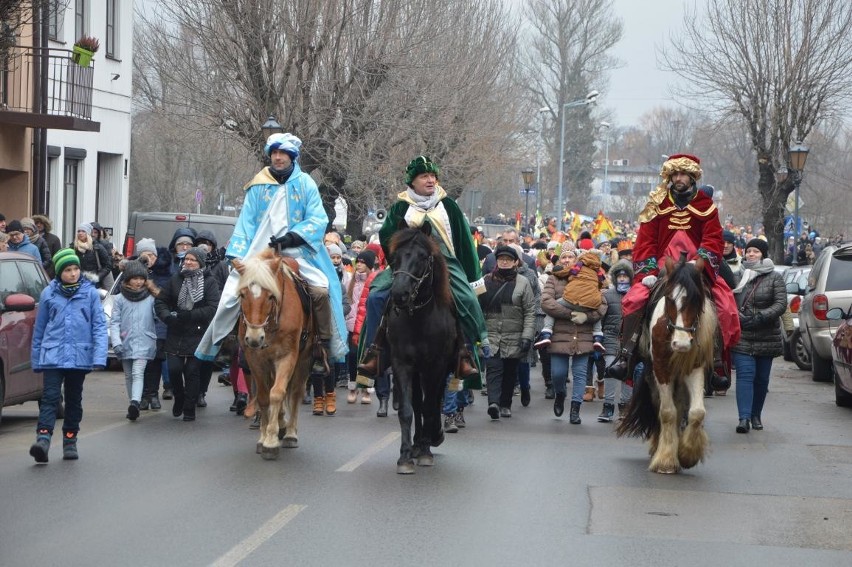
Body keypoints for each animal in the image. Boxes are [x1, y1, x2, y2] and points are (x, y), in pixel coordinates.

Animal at [231, 250, 314, 462]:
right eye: (242, 294)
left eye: (270, 296)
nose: (254, 338)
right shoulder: (255, 360)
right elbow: (263, 397)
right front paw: (263, 438)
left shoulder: (287, 356)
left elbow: (277, 393)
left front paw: (271, 441)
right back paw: (281, 424)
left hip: (303, 358)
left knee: (295, 392)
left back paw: (290, 432)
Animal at [390, 223, 462, 474]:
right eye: (395, 257)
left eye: (422, 257)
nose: (399, 294)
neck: (419, 318)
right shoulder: (402, 364)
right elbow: (407, 410)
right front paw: (404, 457)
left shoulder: (436, 366)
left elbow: (431, 406)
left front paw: (425, 453)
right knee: (418, 404)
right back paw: (417, 443)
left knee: (433, 400)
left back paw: (431, 439)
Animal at [616, 254, 716, 474]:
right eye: (670, 298)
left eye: (697, 299)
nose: (682, 343)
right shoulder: (661, 367)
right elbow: (667, 412)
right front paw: (666, 461)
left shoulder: (694, 367)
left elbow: (696, 412)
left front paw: (687, 454)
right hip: (651, 373)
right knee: (660, 404)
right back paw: (658, 446)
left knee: (680, 405)